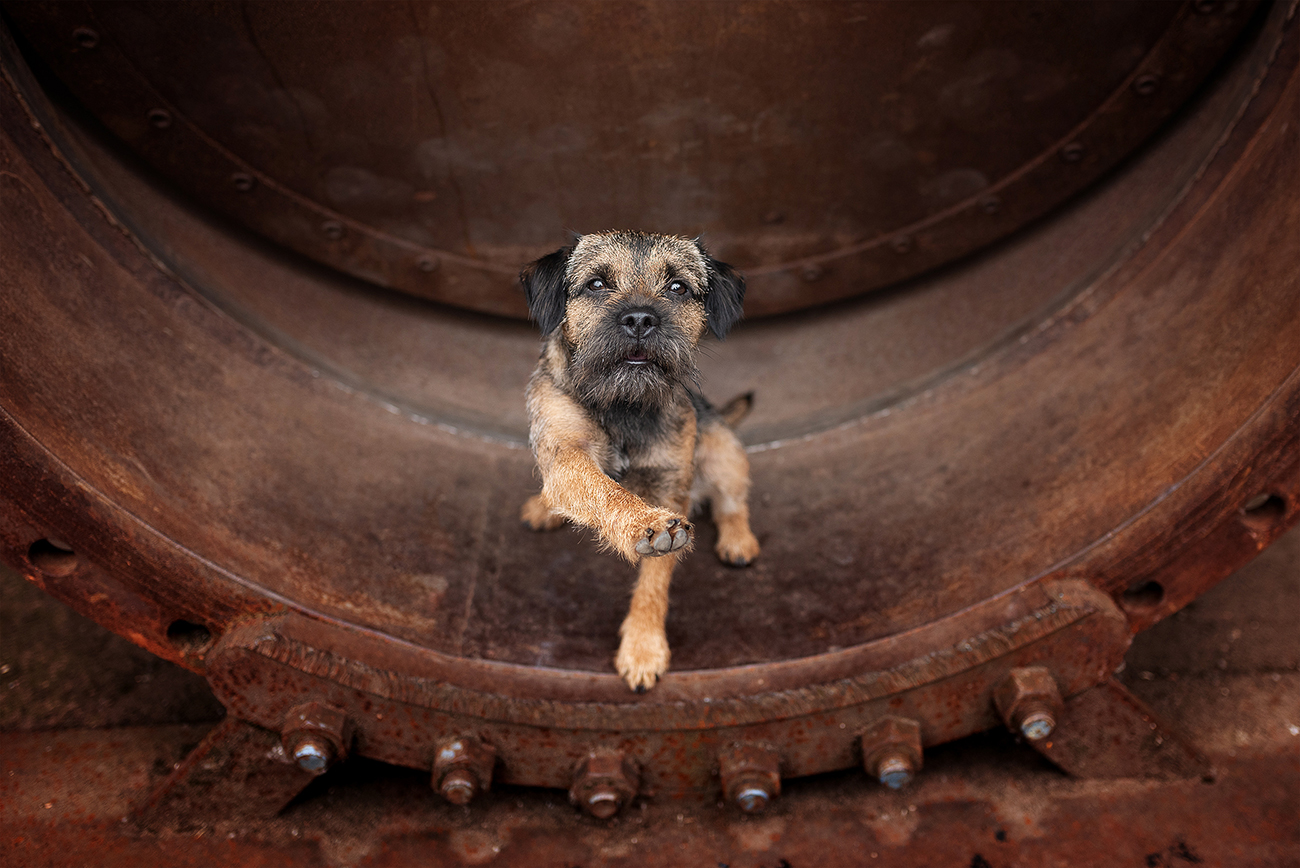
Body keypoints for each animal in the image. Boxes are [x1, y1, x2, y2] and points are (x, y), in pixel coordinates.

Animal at [520, 229, 759, 691]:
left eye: (677, 287)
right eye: (596, 284)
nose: (640, 319)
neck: (625, 404)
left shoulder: (671, 487)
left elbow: (655, 580)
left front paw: (644, 646)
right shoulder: (565, 456)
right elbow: (602, 489)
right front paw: (643, 522)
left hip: (723, 451)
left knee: (732, 501)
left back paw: (738, 540)